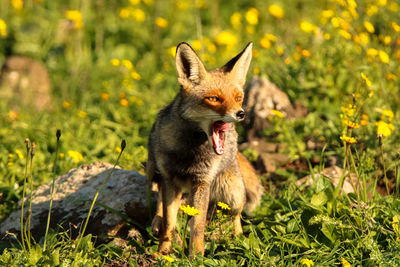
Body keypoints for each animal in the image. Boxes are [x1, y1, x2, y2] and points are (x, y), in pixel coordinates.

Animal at [146, 42, 262, 258]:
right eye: (214, 99)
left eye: (238, 97)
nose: (241, 113)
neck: (189, 153)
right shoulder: (169, 178)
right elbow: (169, 222)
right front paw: (163, 252)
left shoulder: (202, 182)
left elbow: (197, 226)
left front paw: (196, 256)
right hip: (152, 170)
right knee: (160, 202)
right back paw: (157, 221)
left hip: (233, 194)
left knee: (236, 216)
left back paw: (238, 239)